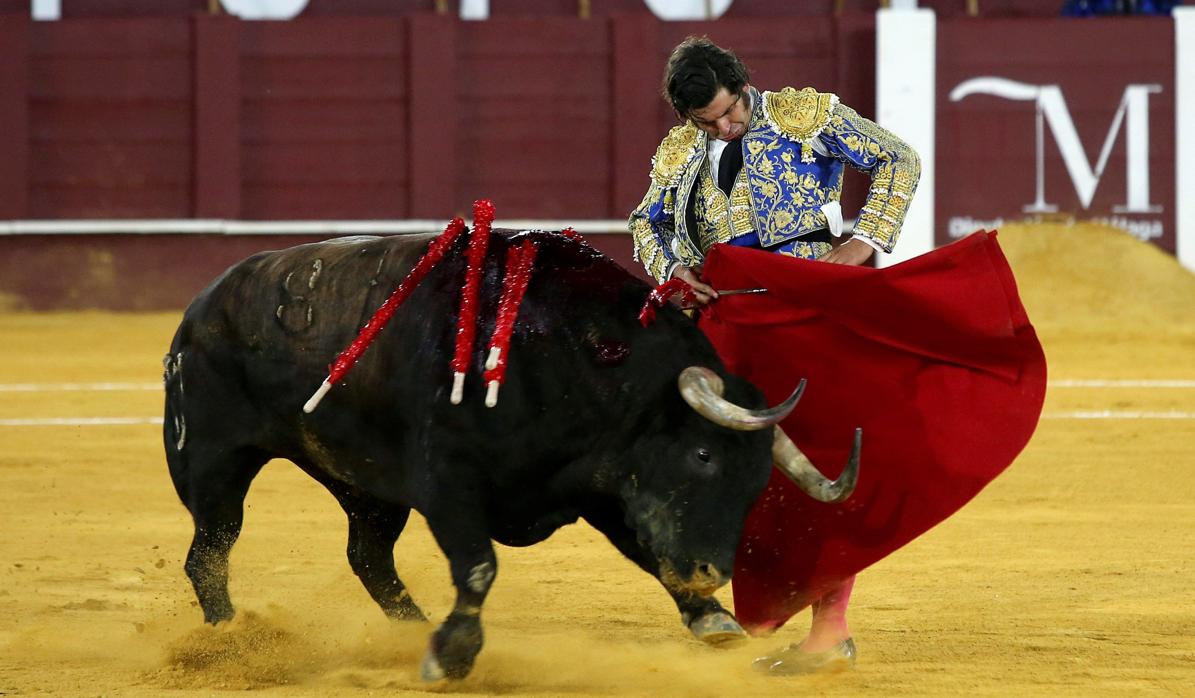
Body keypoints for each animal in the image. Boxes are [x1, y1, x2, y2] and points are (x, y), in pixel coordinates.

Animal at [166, 231, 860, 678]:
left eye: (758, 481)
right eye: (703, 456)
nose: (711, 572)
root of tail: (202, 305)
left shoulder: (604, 483)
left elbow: (646, 549)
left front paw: (712, 619)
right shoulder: (449, 483)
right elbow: (479, 566)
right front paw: (452, 656)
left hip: (365, 488)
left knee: (368, 556)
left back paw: (409, 630)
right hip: (212, 461)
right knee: (210, 552)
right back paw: (230, 641)